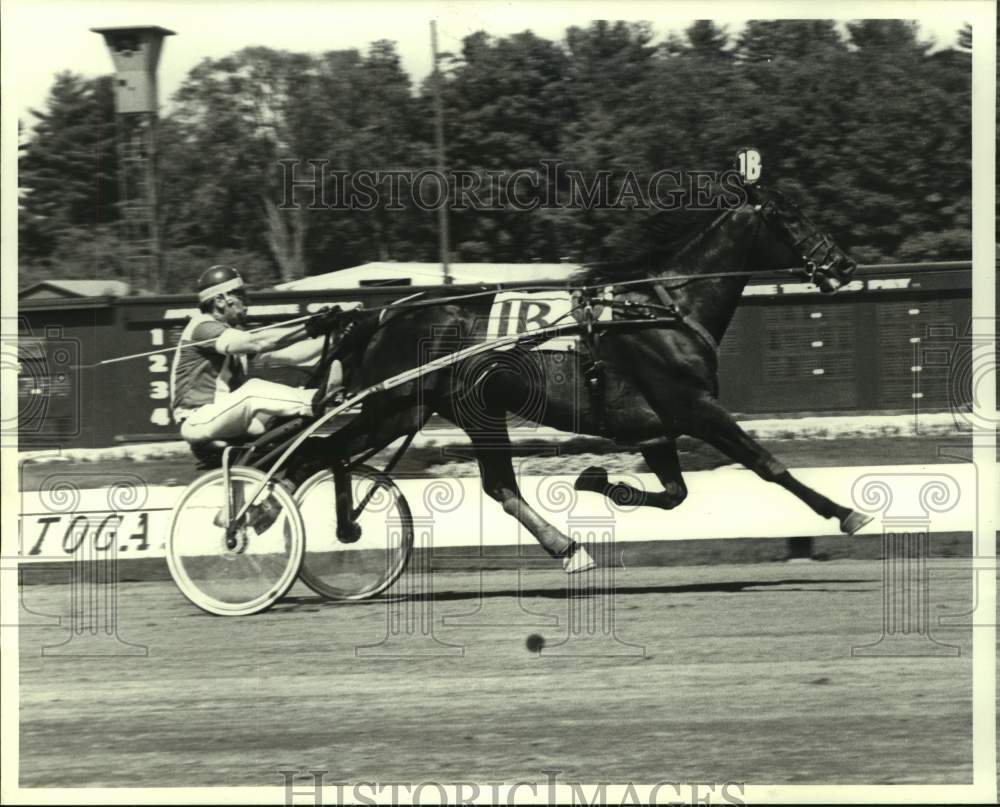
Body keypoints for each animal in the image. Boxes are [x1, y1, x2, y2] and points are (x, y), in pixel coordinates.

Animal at [308, 183, 872, 568]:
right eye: (791, 215)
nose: (843, 265)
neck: (658, 311)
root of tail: (382, 315)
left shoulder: (654, 427)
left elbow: (675, 493)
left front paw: (598, 480)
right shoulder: (692, 406)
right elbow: (766, 464)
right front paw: (846, 512)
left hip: (421, 411)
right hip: (413, 406)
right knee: (329, 452)